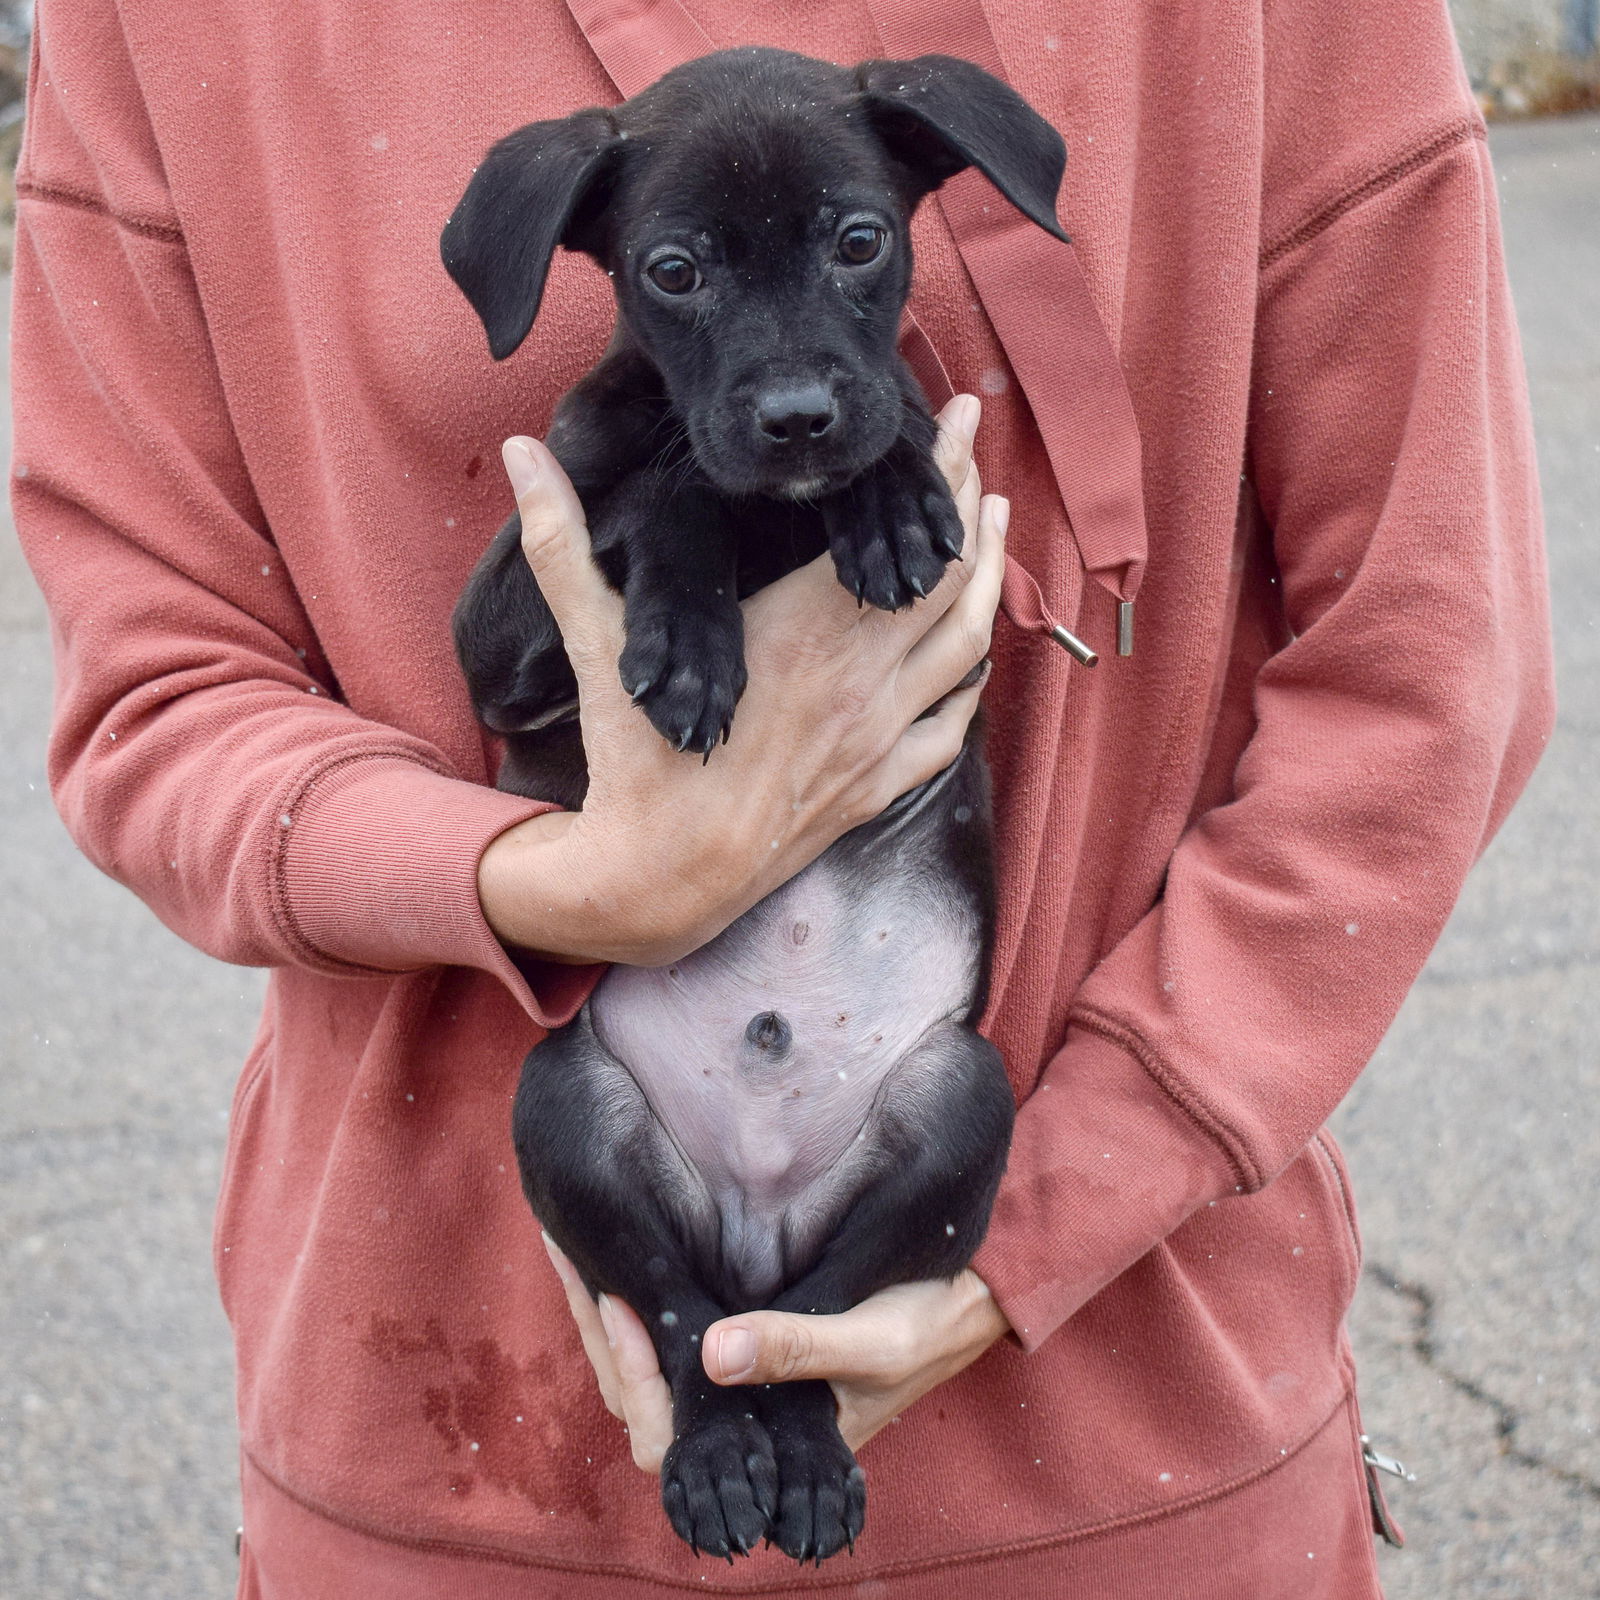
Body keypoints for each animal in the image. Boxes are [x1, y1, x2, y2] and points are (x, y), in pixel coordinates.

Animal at [444, 46, 1068, 1561]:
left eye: (861, 241)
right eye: (673, 271)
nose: (795, 421)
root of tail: (755, 1212)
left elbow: (877, 425)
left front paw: (886, 495)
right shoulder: (499, 642)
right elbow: (672, 488)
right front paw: (688, 628)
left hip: (959, 1108)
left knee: (811, 1330)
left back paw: (803, 1456)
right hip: (567, 1103)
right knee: (689, 1326)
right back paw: (723, 1457)